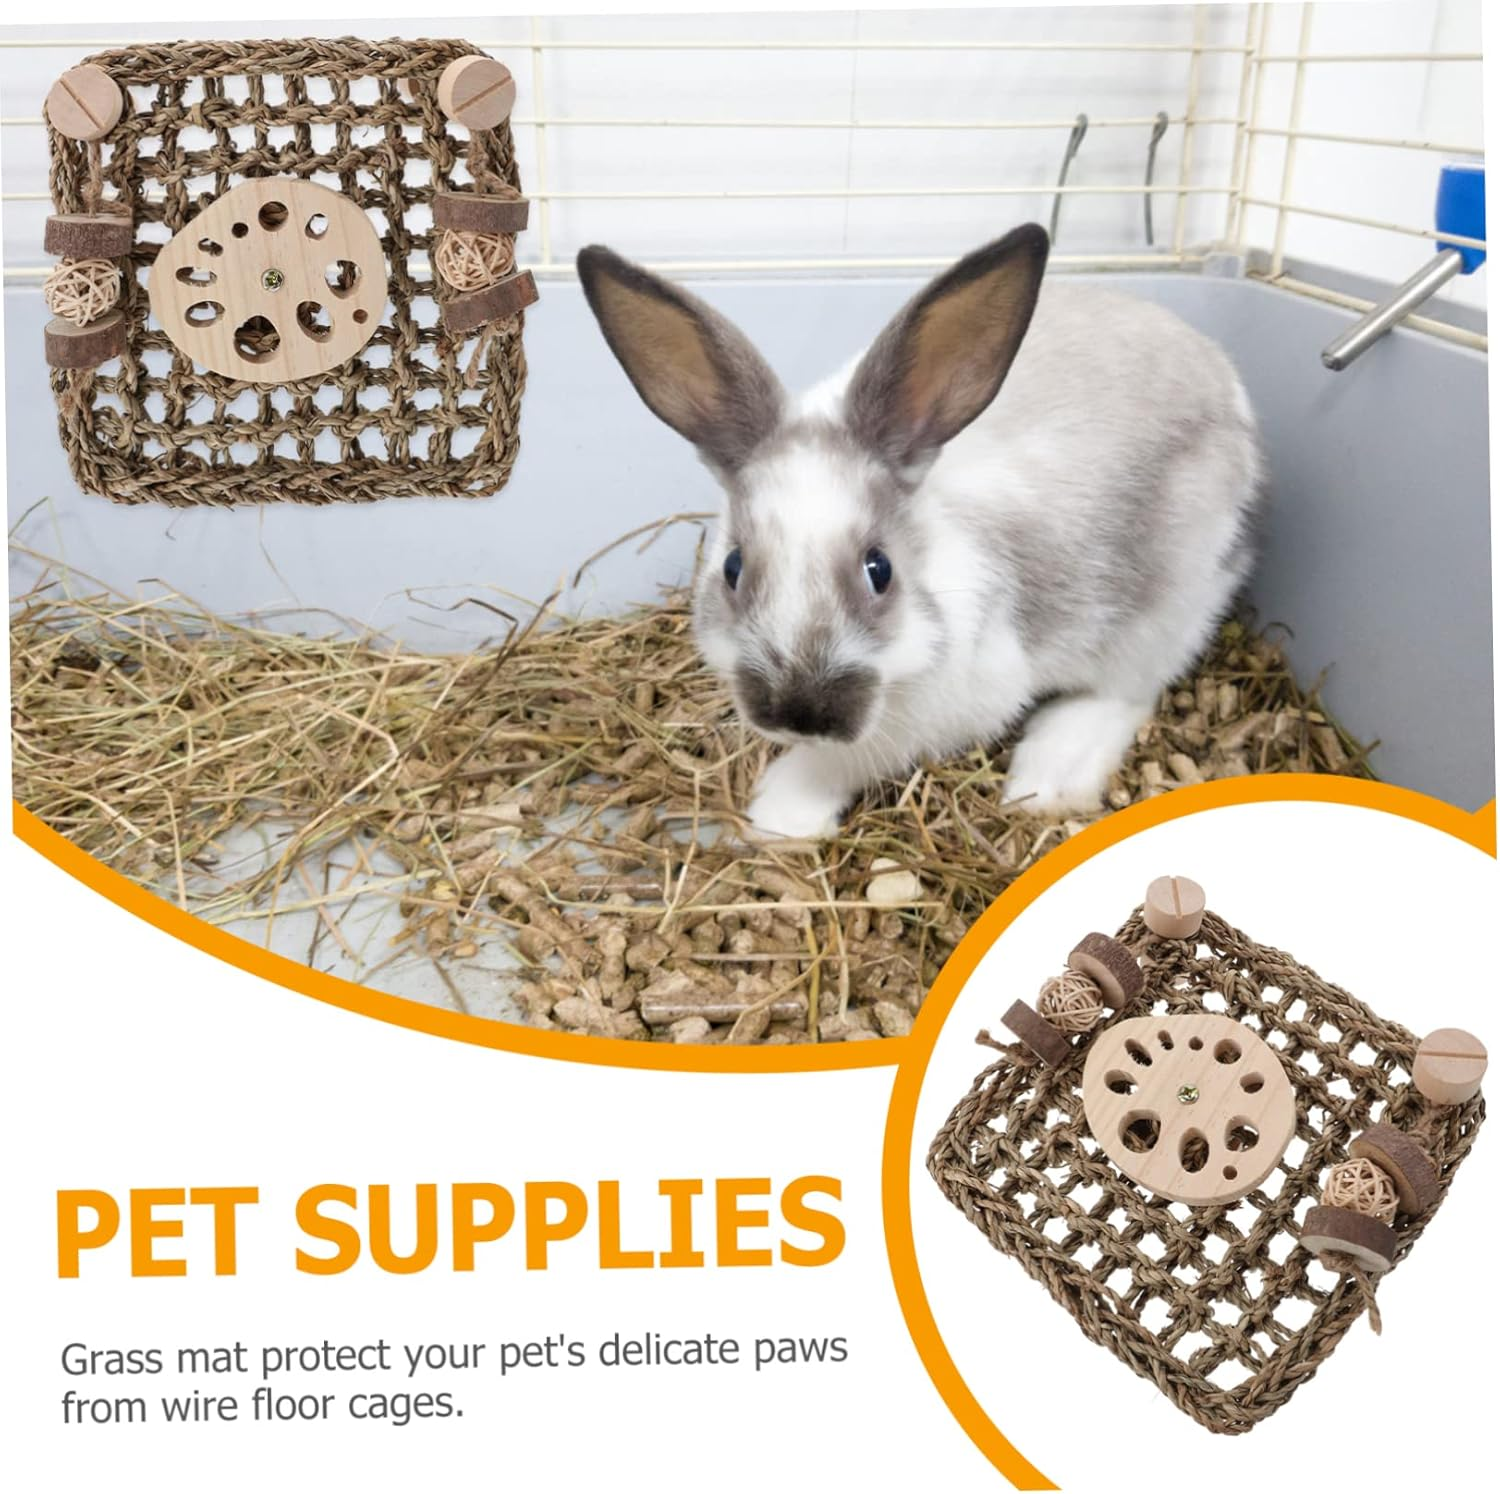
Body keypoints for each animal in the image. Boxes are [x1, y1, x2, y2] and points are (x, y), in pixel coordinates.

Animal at [576, 226, 1262, 840]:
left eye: (879, 570)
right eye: (732, 568)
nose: (799, 712)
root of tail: (1223, 375)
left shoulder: (957, 698)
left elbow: (853, 755)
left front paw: (782, 812)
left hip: (1165, 609)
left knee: (1128, 691)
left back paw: (1049, 778)